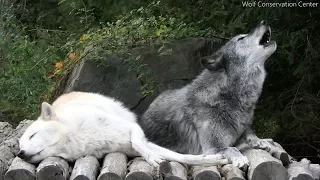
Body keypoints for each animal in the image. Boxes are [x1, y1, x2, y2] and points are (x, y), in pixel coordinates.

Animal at [18, 92, 228, 167]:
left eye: (33, 135)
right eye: (20, 145)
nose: (20, 153)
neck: (77, 136)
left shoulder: (133, 131)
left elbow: (180, 156)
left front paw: (212, 159)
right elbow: (177, 157)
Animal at [139, 20, 278, 168]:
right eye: (241, 38)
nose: (264, 21)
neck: (227, 95)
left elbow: (251, 135)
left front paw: (261, 141)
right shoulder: (211, 148)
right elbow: (232, 148)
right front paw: (240, 157)